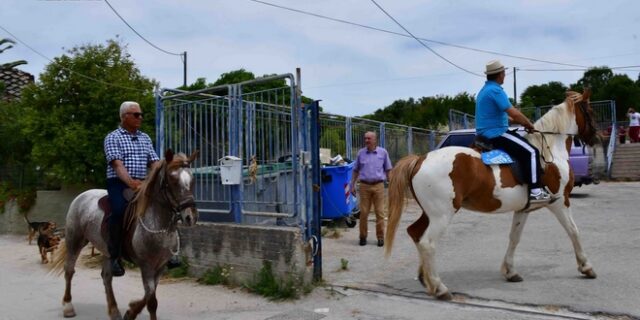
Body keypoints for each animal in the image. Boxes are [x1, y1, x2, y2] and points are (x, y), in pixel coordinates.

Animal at [51, 151, 199, 320]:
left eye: (192, 180)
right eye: (172, 180)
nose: (190, 217)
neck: (157, 224)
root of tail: (82, 196)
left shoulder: (161, 266)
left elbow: (149, 295)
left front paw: (131, 311)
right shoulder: (147, 266)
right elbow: (151, 299)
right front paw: (132, 311)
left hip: (108, 251)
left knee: (106, 277)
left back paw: (114, 311)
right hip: (75, 240)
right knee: (69, 270)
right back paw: (68, 307)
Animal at [384, 89, 600, 300]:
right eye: (589, 112)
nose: (596, 139)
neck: (548, 152)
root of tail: (420, 159)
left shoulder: (524, 209)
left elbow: (514, 238)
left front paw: (510, 272)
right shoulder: (560, 202)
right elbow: (574, 231)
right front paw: (586, 267)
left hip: (429, 213)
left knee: (415, 233)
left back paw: (425, 278)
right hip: (442, 215)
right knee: (427, 243)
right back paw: (439, 287)